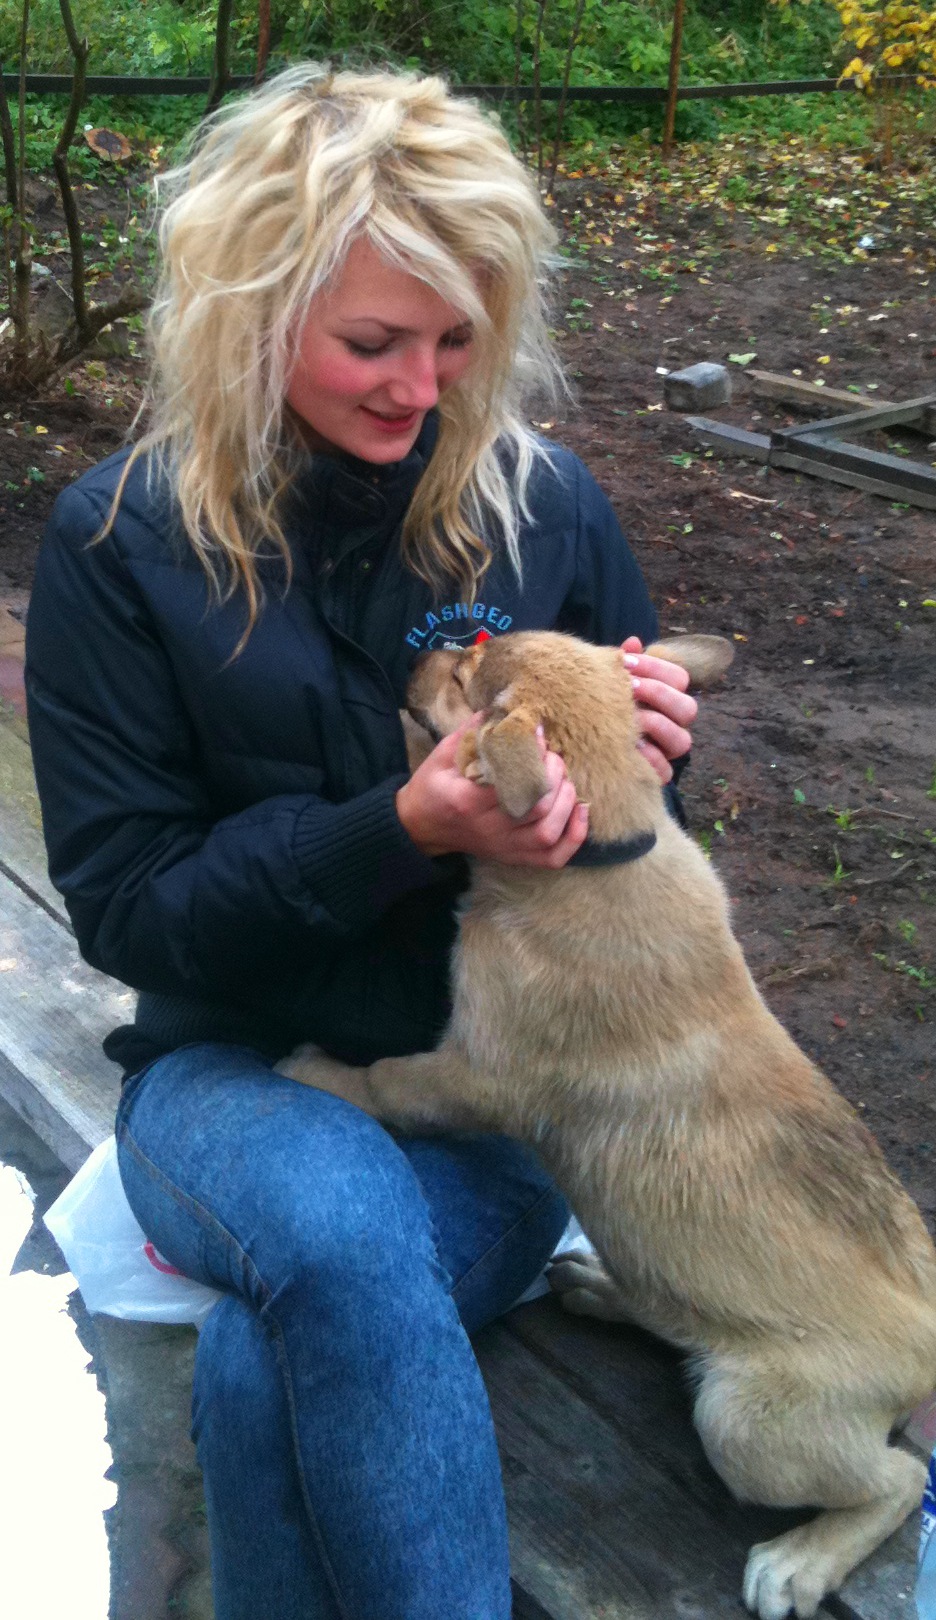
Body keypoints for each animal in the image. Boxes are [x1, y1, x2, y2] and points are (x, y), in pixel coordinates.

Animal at [277, 630, 936, 1619]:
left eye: (463, 676)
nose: (418, 651)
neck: (607, 851)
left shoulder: (473, 1073)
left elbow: (385, 1083)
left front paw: (314, 1071)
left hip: (751, 1425)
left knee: (896, 1481)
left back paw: (800, 1561)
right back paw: (601, 1287)